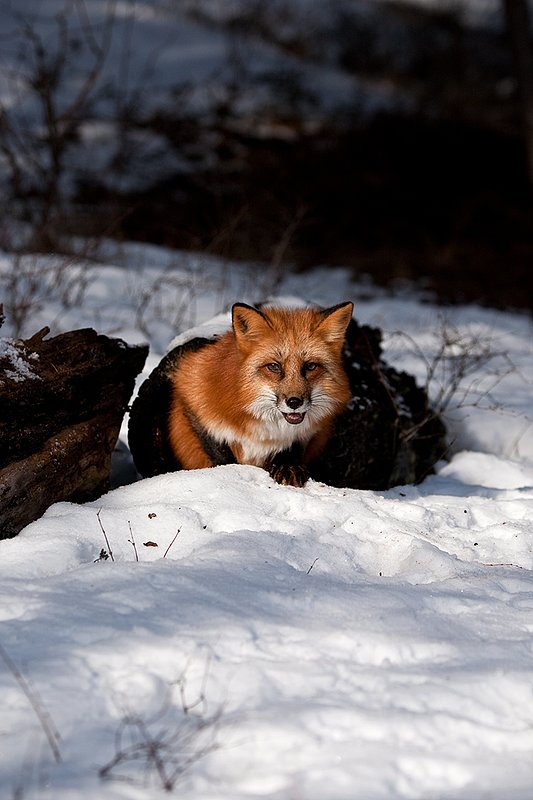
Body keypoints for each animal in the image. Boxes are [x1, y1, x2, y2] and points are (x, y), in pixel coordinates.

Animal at [167, 301, 354, 487]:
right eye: (274, 367)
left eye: (310, 366)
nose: (294, 402)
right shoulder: (192, 388)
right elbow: (216, 446)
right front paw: (228, 470)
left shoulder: (309, 431)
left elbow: (293, 445)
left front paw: (287, 467)